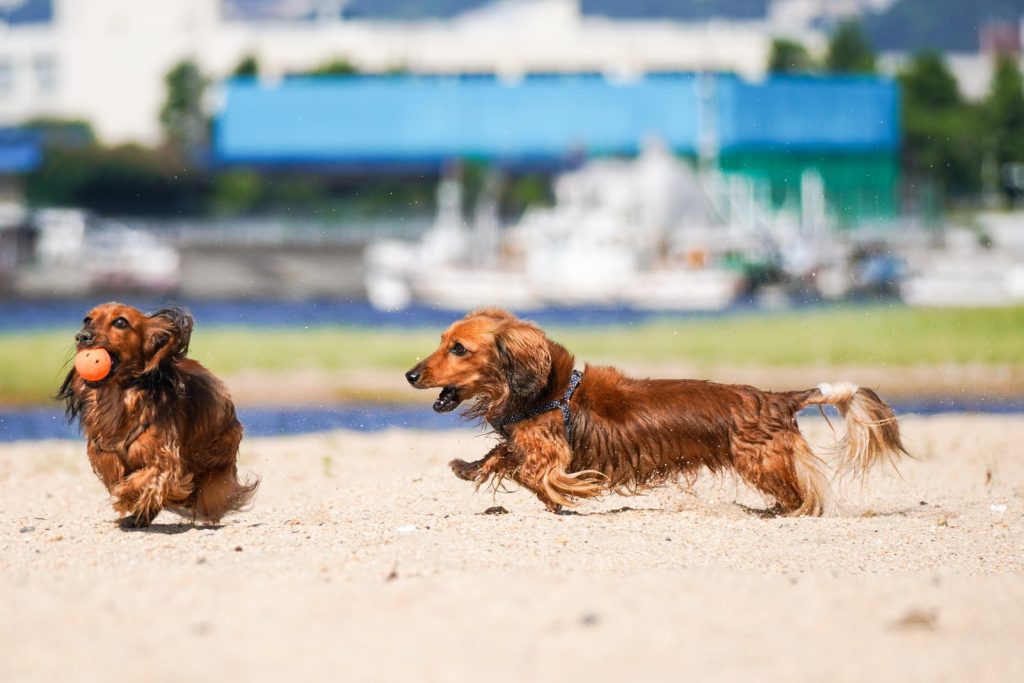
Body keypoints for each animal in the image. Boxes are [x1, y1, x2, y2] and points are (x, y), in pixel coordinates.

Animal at [58, 301, 258, 528]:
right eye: (87, 320)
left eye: (120, 322)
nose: (82, 336)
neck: (119, 398)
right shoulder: (105, 457)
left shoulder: (166, 460)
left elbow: (146, 480)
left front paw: (126, 495)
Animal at [403, 307, 909, 516]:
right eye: (442, 340)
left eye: (459, 348)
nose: (409, 374)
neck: (545, 391)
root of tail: (778, 398)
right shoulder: (526, 443)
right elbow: (501, 457)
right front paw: (469, 467)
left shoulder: (552, 453)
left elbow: (535, 474)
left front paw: (566, 495)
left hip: (761, 463)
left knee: (801, 493)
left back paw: (784, 511)